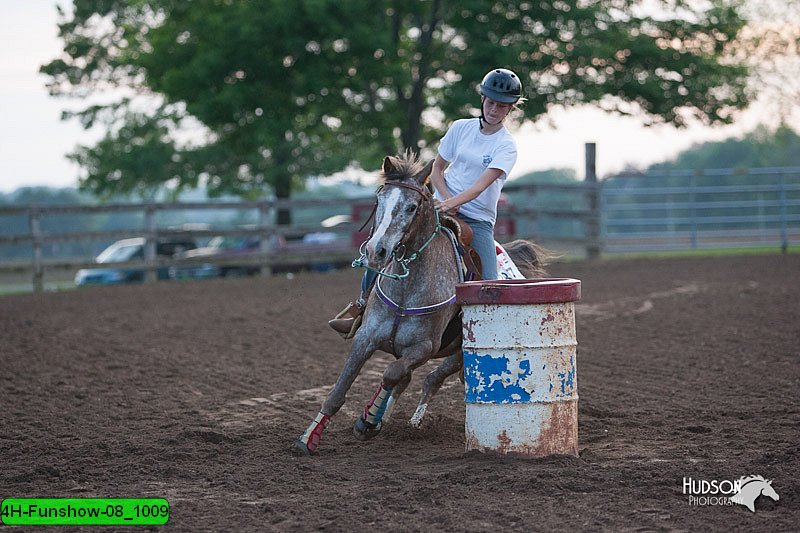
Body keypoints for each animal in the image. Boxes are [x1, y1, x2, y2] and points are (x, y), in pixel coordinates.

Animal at [294, 152, 552, 456]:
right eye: (379, 201)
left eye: (412, 207)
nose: (376, 250)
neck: (407, 289)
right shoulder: (366, 338)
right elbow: (340, 390)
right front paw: (308, 439)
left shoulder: (424, 347)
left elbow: (391, 373)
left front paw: (367, 420)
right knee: (413, 380)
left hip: (457, 355)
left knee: (430, 380)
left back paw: (408, 421)